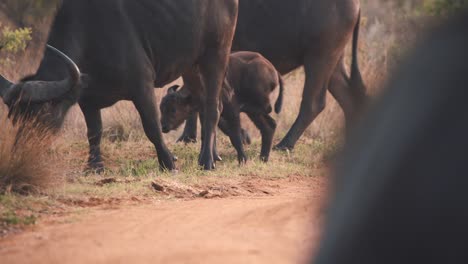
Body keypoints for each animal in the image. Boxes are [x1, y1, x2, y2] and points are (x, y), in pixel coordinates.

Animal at [0, 0, 239, 171]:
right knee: (206, 104)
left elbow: (152, 127)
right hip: (190, 65)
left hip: (216, 54)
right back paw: (213, 154)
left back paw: (206, 161)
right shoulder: (87, 98)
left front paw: (168, 162)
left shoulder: (142, 87)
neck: (90, 35)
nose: (23, 151)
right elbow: (94, 131)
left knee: (212, 107)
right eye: (15, 117)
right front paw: (95, 166)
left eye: (40, 115)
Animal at [179, 0, 366, 151]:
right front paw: (187, 137)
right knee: (348, 98)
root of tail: (356, 4)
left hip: (320, 57)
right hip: (334, 61)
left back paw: (284, 144)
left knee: (313, 103)